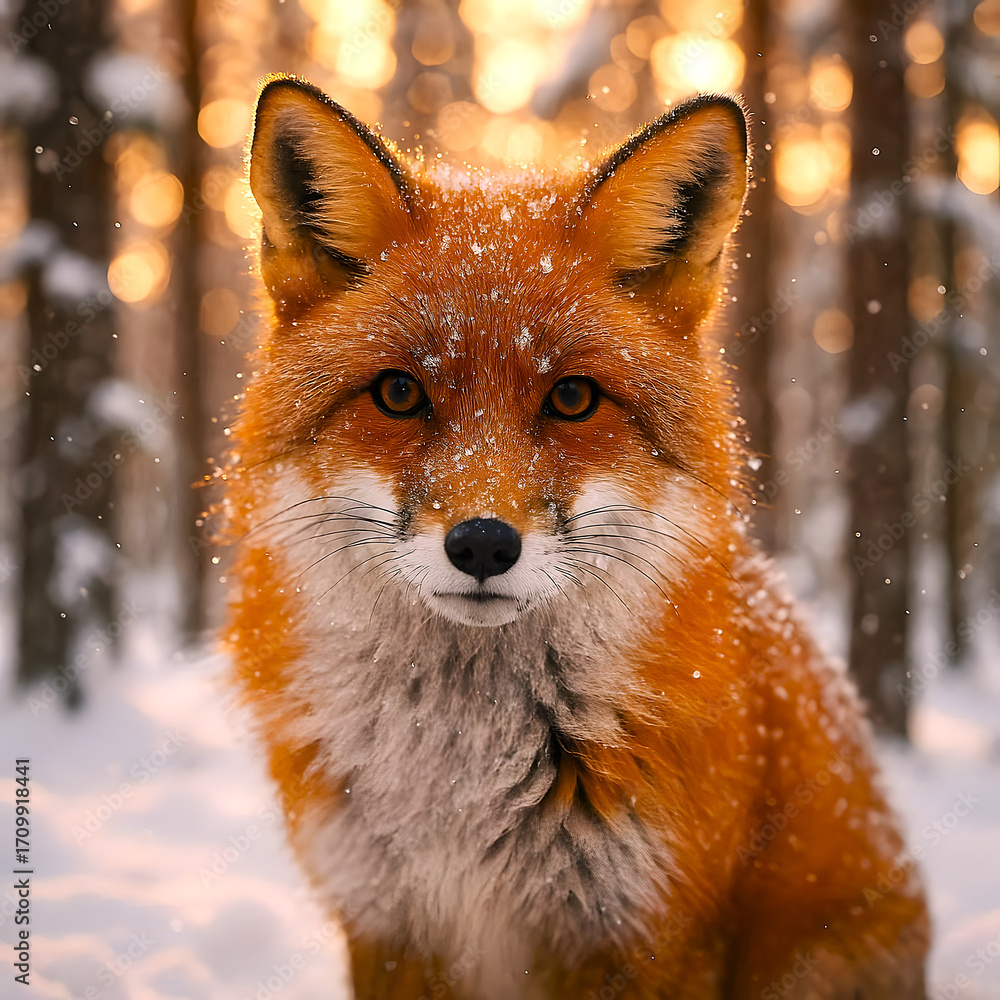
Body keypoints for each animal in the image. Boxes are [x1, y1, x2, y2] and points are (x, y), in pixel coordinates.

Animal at [224, 75, 929, 1000]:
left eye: (572, 399)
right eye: (399, 393)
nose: (483, 545)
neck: (463, 775)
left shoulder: (644, 931)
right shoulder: (388, 923)